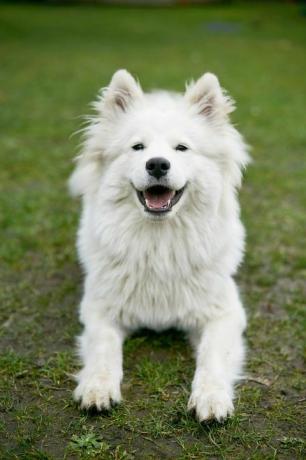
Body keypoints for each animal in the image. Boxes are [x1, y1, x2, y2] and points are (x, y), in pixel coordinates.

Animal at [70, 69, 250, 420]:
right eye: (137, 147)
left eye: (181, 148)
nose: (156, 164)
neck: (159, 245)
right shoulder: (99, 309)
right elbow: (103, 349)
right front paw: (98, 388)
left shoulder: (224, 313)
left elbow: (212, 356)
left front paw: (211, 398)